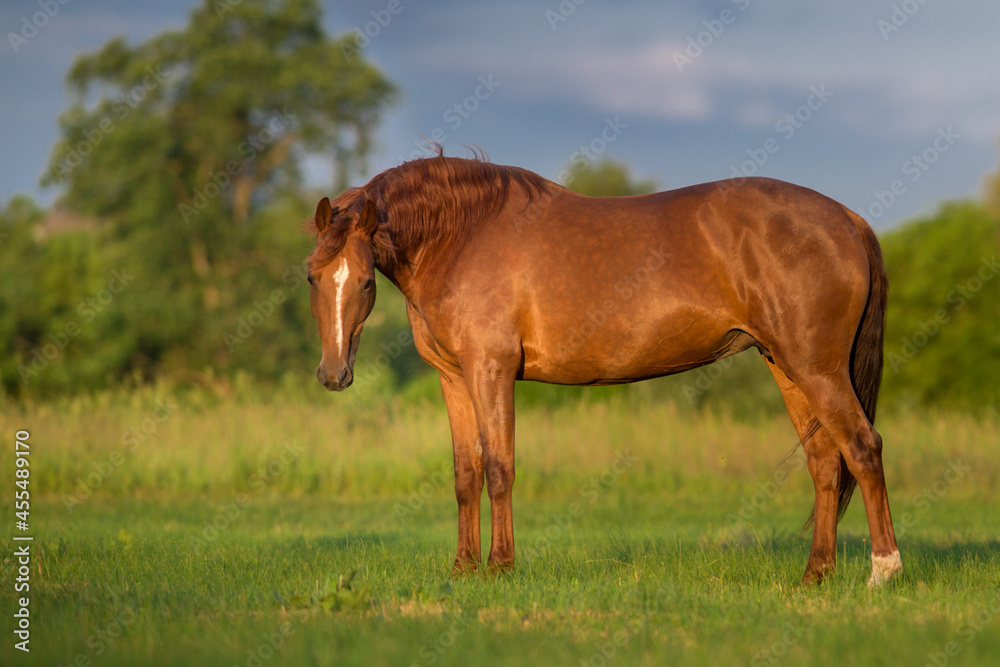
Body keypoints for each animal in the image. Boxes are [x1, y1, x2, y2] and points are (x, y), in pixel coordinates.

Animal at [303, 154, 901, 587]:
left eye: (364, 282)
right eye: (313, 276)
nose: (334, 375)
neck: (461, 237)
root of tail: (847, 219)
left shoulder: (490, 370)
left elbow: (499, 467)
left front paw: (499, 567)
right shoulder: (454, 378)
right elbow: (465, 473)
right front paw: (462, 569)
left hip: (818, 369)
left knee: (864, 449)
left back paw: (884, 571)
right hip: (788, 367)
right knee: (825, 462)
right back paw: (814, 575)